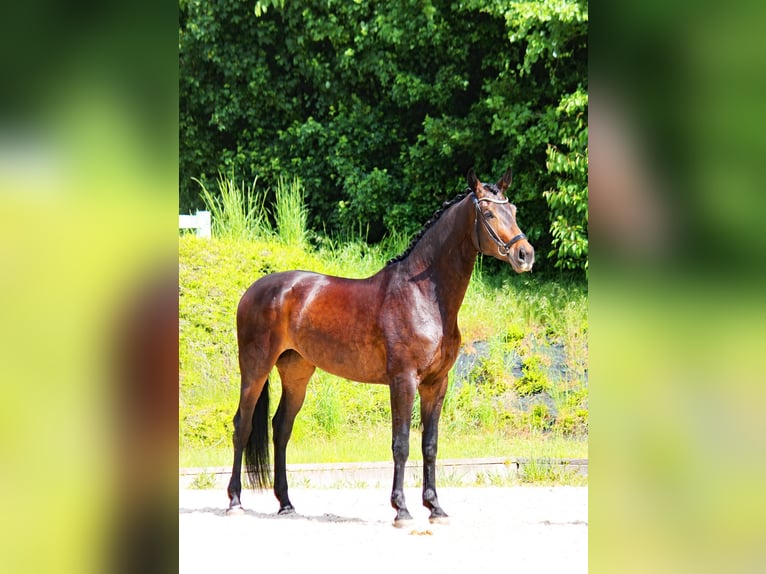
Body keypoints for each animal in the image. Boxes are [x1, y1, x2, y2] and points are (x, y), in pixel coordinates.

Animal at [226, 168, 536, 528]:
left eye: (513, 210)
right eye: (487, 213)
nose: (525, 254)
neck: (423, 296)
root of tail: (253, 290)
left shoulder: (436, 384)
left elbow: (430, 445)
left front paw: (435, 508)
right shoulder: (403, 381)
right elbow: (401, 444)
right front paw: (401, 509)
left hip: (296, 373)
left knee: (281, 429)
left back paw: (287, 504)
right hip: (255, 368)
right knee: (243, 424)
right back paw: (235, 501)